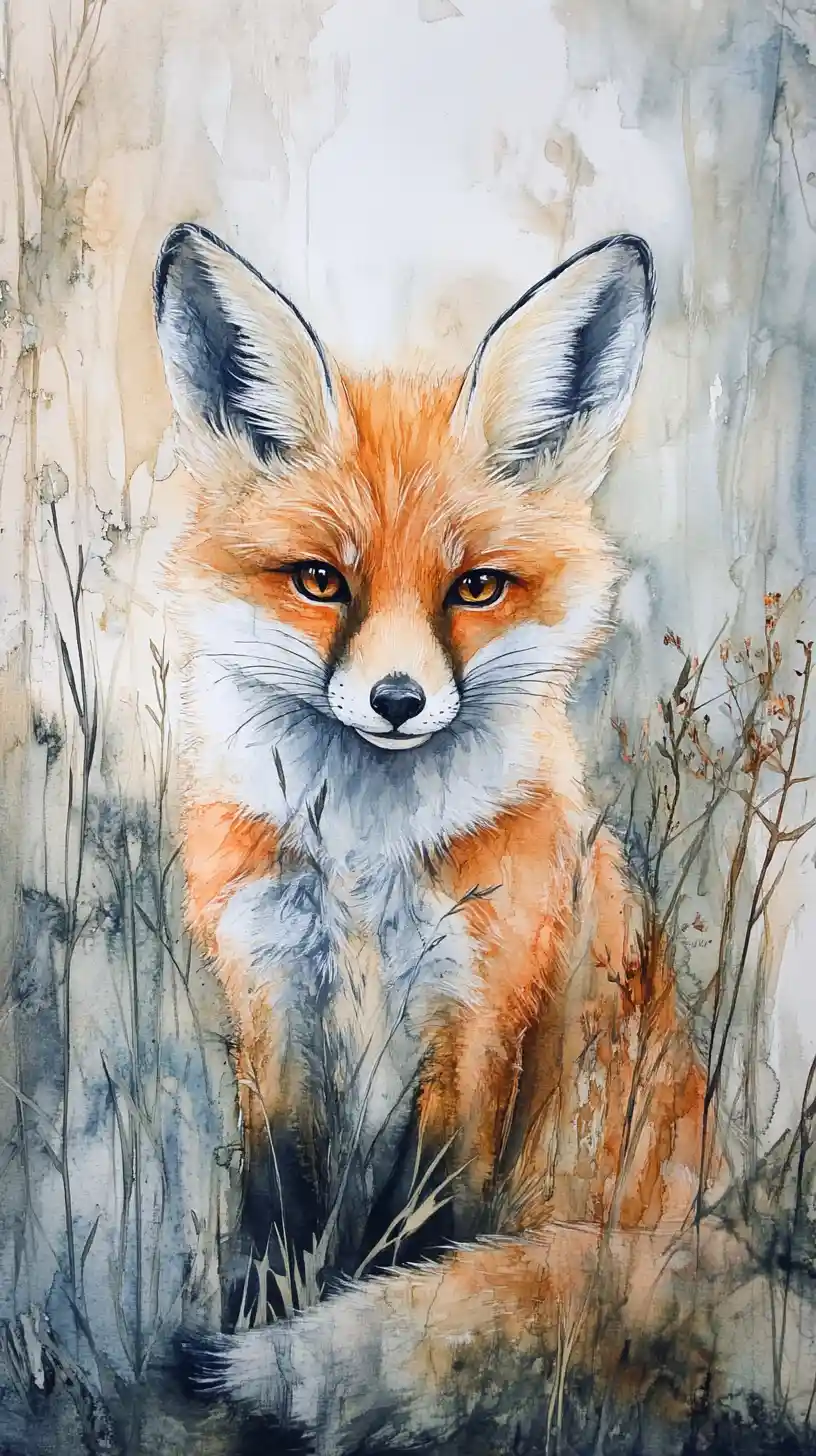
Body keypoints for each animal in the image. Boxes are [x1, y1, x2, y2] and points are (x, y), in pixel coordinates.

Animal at [153, 224, 740, 1452]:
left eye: (475, 588)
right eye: (320, 581)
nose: (395, 701)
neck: (363, 868)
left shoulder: (476, 1018)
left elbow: (423, 1238)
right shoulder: (272, 1000)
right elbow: (276, 1212)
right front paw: (256, 1331)